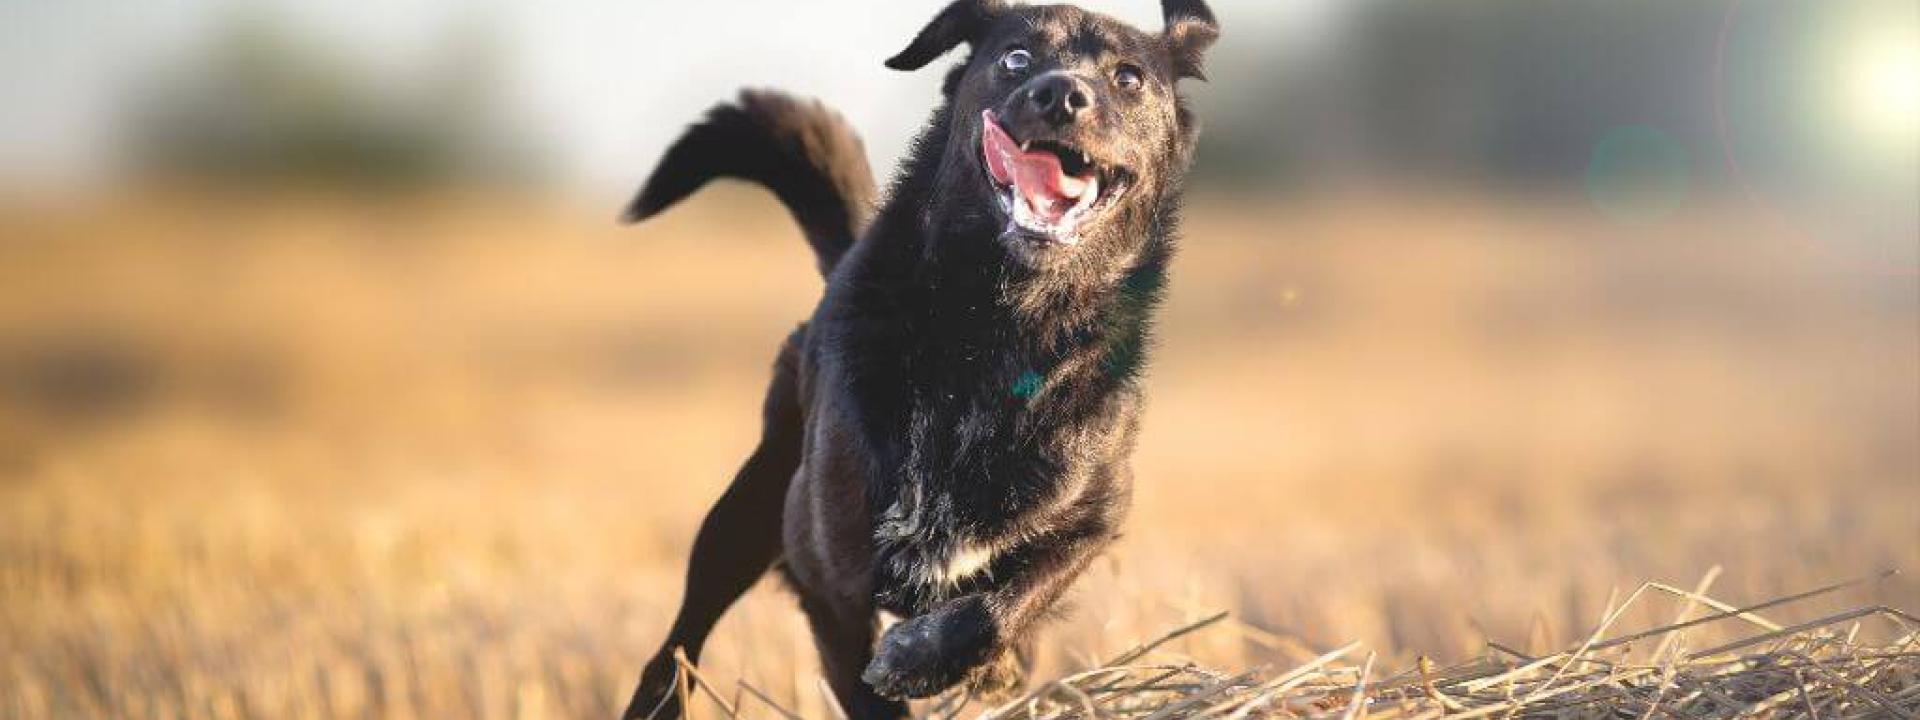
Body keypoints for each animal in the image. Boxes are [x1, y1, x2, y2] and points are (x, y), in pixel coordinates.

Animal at [622, 2, 1221, 718]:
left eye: (1128, 78)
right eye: (1015, 58)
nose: (1059, 95)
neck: (999, 330)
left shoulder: (1094, 515)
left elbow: (1007, 603)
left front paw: (931, 658)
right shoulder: (832, 585)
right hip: (745, 513)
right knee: (681, 639)